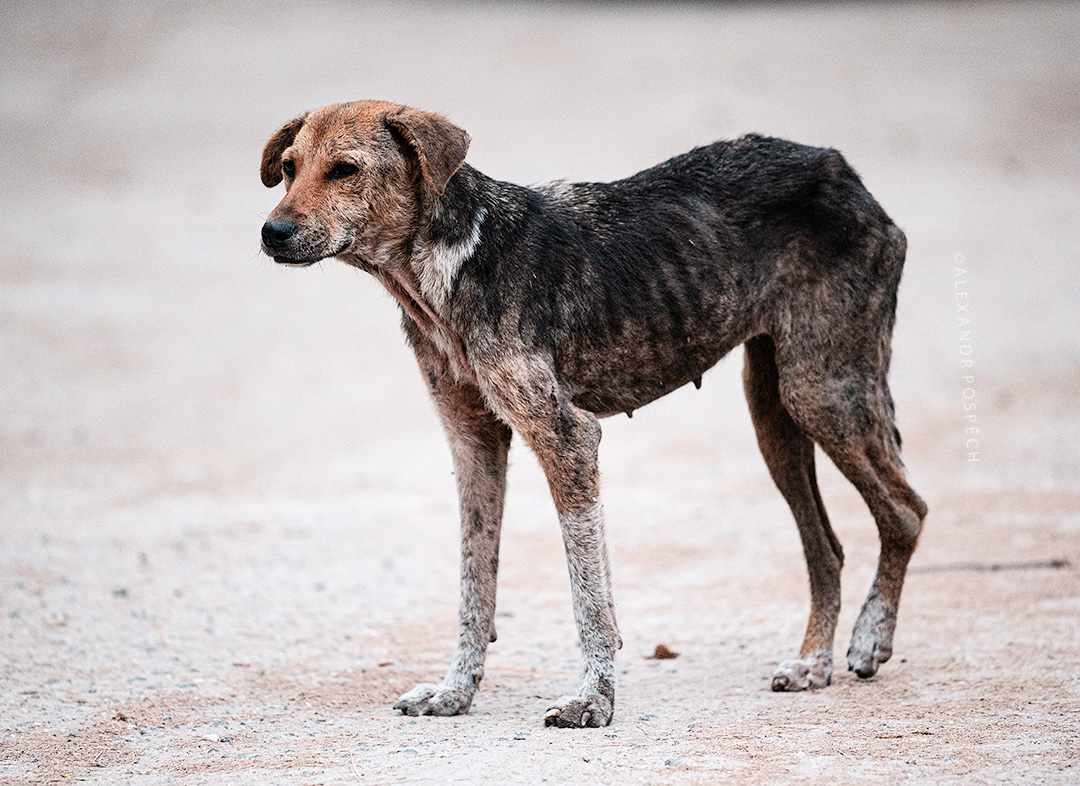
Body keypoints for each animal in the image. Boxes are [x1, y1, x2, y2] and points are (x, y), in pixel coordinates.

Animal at [261, 101, 928, 725]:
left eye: (345, 170)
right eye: (289, 168)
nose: (272, 231)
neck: (450, 261)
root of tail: (839, 168)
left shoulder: (568, 438)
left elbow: (588, 593)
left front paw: (594, 700)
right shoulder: (474, 444)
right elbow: (476, 582)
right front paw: (455, 693)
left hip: (822, 391)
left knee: (906, 512)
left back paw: (869, 639)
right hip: (775, 413)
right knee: (828, 547)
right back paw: (814, 661)